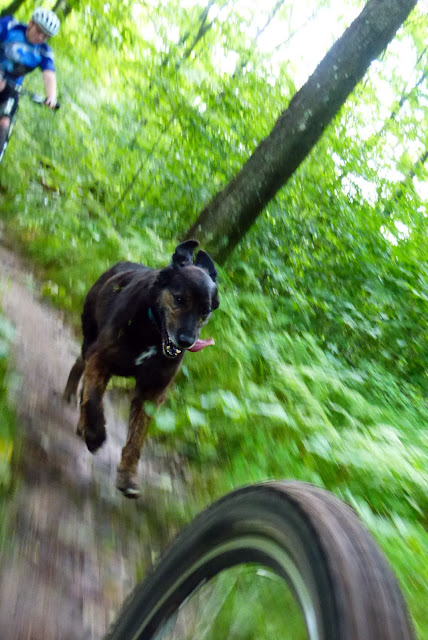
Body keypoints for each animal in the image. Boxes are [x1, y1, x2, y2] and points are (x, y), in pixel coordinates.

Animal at [64, 240, 219, 498]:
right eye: (179, 300)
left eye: (205, 311)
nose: (186, 341)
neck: (153, 331)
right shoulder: (100, 359)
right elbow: (94, 400)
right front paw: (95, 436)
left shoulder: (152, 392)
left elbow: (137, 437)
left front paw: (127, 475)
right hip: (91, 340)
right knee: (82, 366)